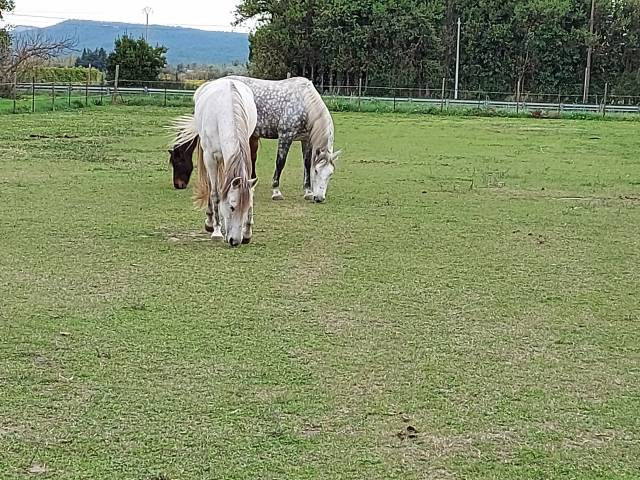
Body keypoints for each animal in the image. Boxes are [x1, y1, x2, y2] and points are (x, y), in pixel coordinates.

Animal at [169, 76, 340, 202]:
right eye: (317, 171)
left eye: (330, 174)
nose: (319, 198)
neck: (303, 102)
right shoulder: (286, 135)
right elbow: (280, 162)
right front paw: (276, 191)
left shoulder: (306, 140)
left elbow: (306, 163)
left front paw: (307, 192)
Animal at [172, 77, 260, 248]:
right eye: (232, 207)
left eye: (245, 208)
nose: (235, 241)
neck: (225, 114)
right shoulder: (210, 157)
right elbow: (216, 194)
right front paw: (217, 231)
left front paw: (247, 232)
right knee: (211, 186)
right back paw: (210, 222)